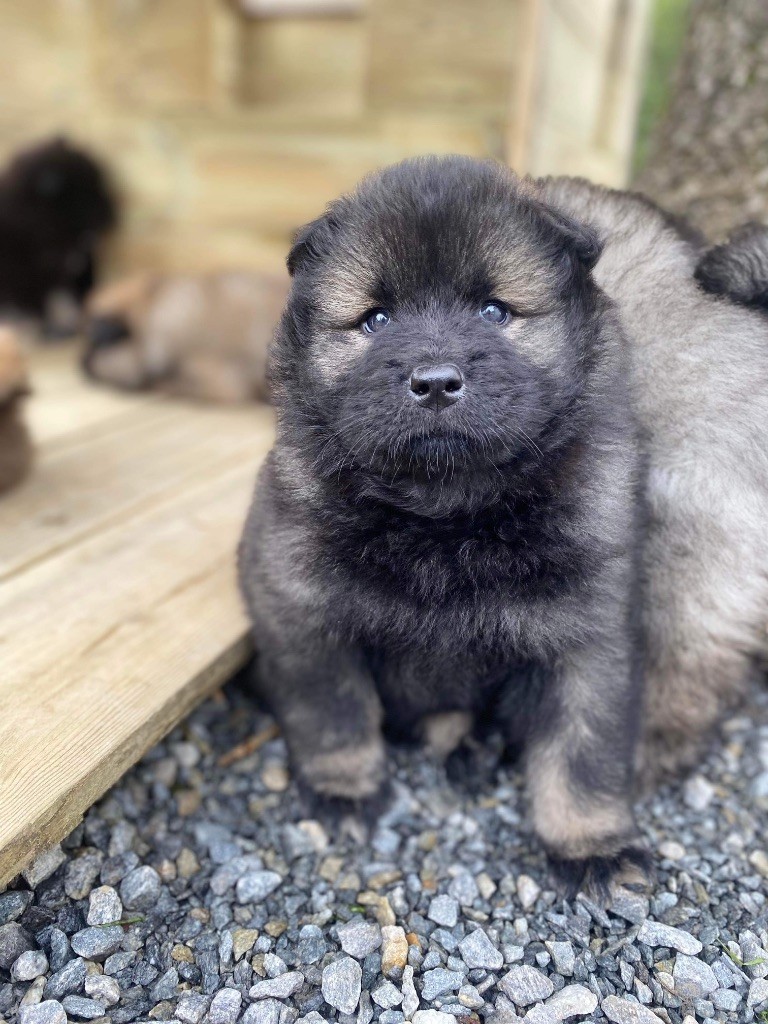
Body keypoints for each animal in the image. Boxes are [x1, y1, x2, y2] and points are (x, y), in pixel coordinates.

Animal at [239, 156, 768, 897]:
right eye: (376, 320)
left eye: (495, 312)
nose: (435, 381)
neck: (445, 518)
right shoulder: (303, 612)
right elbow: (335, 714)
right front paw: (345, 792)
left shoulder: (589, 639)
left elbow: (583, 751)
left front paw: (590, 844)